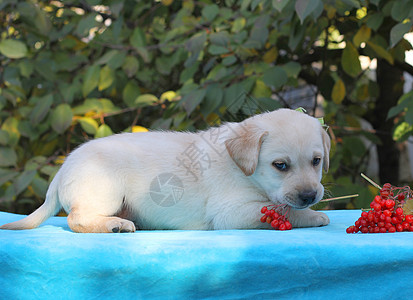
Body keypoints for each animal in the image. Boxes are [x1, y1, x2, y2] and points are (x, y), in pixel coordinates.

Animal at [0, 109, 328, 233]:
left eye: (317, 161)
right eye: (280, 166)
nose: (310, 196)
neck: (243, 169)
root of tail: (62, 170)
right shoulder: (230, 213)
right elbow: (286, 211)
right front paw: (315, 216)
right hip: (104, 191)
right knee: (75, 219)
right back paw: (114, 225)